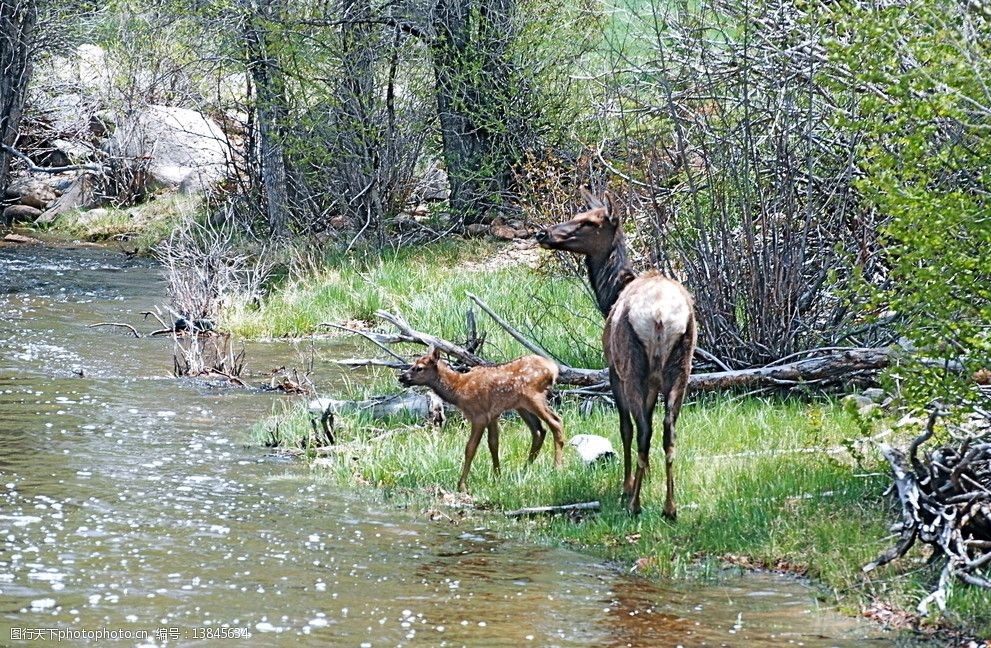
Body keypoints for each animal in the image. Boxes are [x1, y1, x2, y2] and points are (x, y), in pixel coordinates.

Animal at [398, 350, 564, 492]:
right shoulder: (492, 415)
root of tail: (553, 369)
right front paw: (497, 477)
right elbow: (493, 444)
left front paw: (462, 485)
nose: (401, 377)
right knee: (539, 430)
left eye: (419, 368)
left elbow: (470, 448)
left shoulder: (479, 416)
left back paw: (556, 468)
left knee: (556, 422)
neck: (458, 389)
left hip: (533, 397)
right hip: (521, 405)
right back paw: (524, 470)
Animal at [536, 187, 696, 516]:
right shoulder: (653, 382)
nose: (542, 233)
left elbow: (625, 428)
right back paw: (670, 507)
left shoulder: (613, 370)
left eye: (589, 222)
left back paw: (633, 503)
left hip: (632, 366)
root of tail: (660, 316)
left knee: (642, 430)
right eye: (578, 214)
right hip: (681, 367)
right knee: (668, 430)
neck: (610, 296)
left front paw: (628, 486)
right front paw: (645, 478)